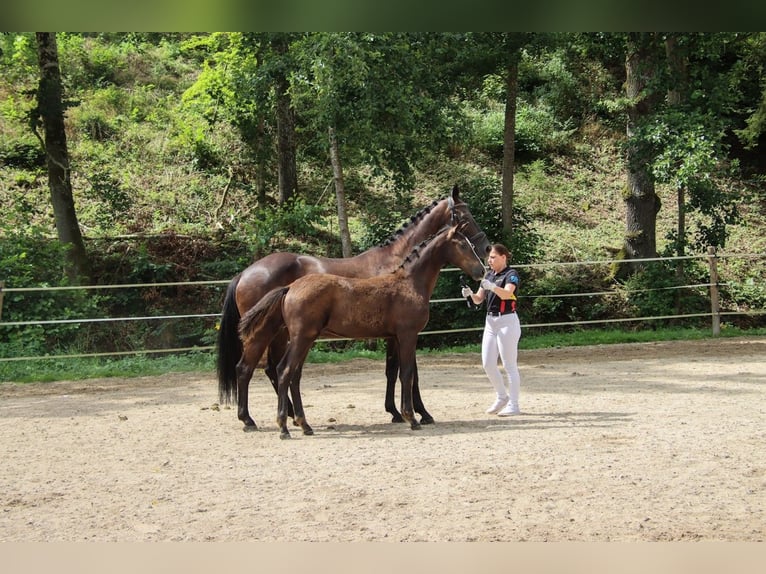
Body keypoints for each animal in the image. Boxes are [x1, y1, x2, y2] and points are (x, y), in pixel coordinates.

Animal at [216, 187, 492, 430]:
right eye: (464, 216)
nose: (487, 252)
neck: (401, 272)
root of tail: (244, 273)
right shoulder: (405, 334)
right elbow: (407, 372)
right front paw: (418, 413)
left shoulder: (393, 335)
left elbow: (393, 371)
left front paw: (397, 412)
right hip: (268, 334)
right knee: (251, 369)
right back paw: (254, 419)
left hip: (283, 334)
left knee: (274, 370)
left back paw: (290, 418)